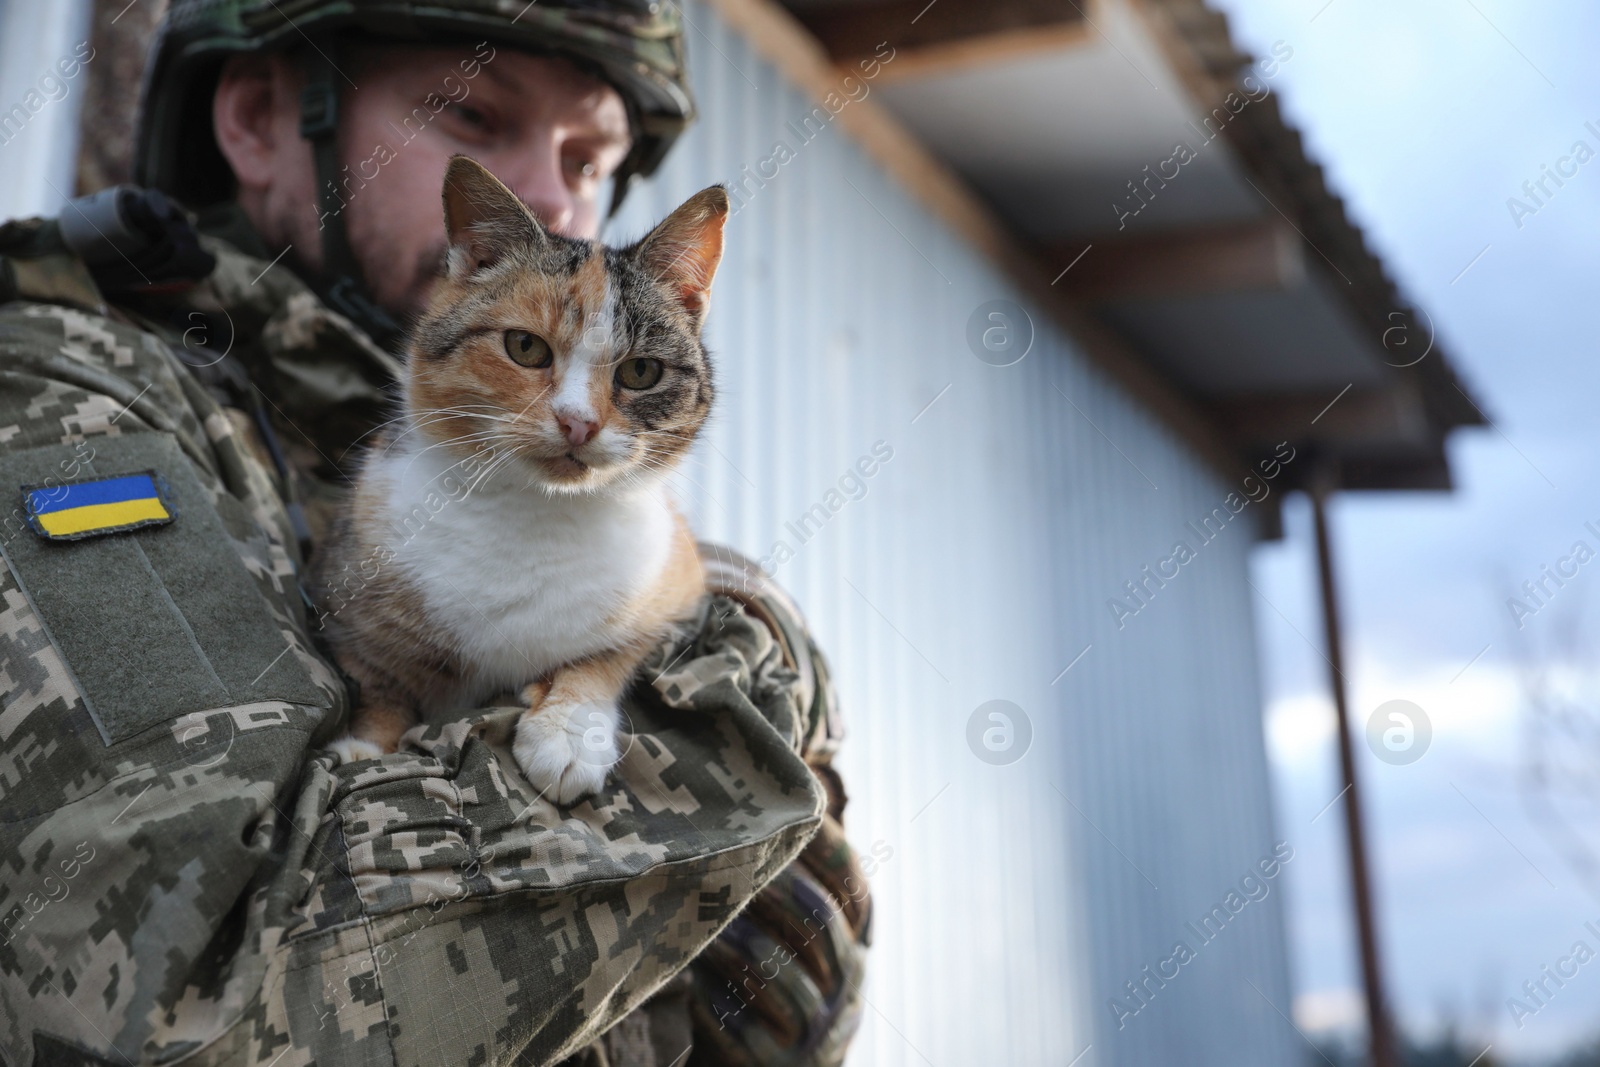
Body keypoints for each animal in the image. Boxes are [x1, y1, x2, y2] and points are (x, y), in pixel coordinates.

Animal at [312, 156, 726, 799]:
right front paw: (366, 749)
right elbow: (381, 680)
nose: (578, 422)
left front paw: (568, 732)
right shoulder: (348, 590)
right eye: (525, 346)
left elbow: (608, 654)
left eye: (641, 371)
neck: (536, 513)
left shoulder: (679, 592)